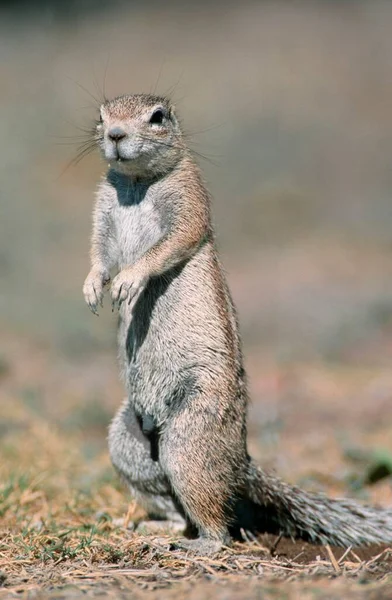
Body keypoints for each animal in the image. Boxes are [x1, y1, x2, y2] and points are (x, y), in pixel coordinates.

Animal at [82, 91, 392, 556]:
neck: (136, 183)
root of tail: (241, 461)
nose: (116, 135)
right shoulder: (102, 211)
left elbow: (171, 244)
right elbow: (99, 252)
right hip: (127, 440)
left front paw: (129, 280)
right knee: (176, 509)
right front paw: (92, 286)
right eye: (101, 117)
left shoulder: (189, 202)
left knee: (216, 523)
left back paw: (200, 546)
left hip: (190, 438)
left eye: (158, 116)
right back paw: (151, 527)